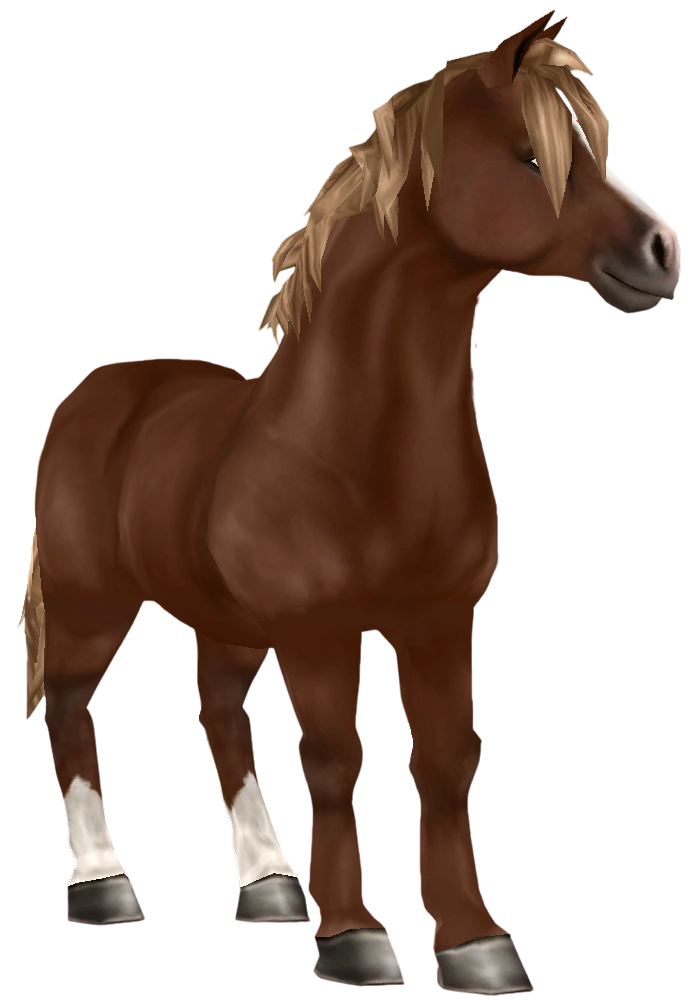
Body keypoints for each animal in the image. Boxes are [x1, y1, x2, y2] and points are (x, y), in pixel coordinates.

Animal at [21, 11, 680, 993]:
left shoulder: (438, 619)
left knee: (219, 717)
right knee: (71, 712)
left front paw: (475, 941)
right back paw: (105, 886)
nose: (662, 251)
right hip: (91, 602)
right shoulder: (317, 628)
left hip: (227, 622)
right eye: (532, 158)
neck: (353, 446)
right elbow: (335, 760)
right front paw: (355, 937)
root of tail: (96, 392)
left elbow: (445, 761)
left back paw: (268, 884)